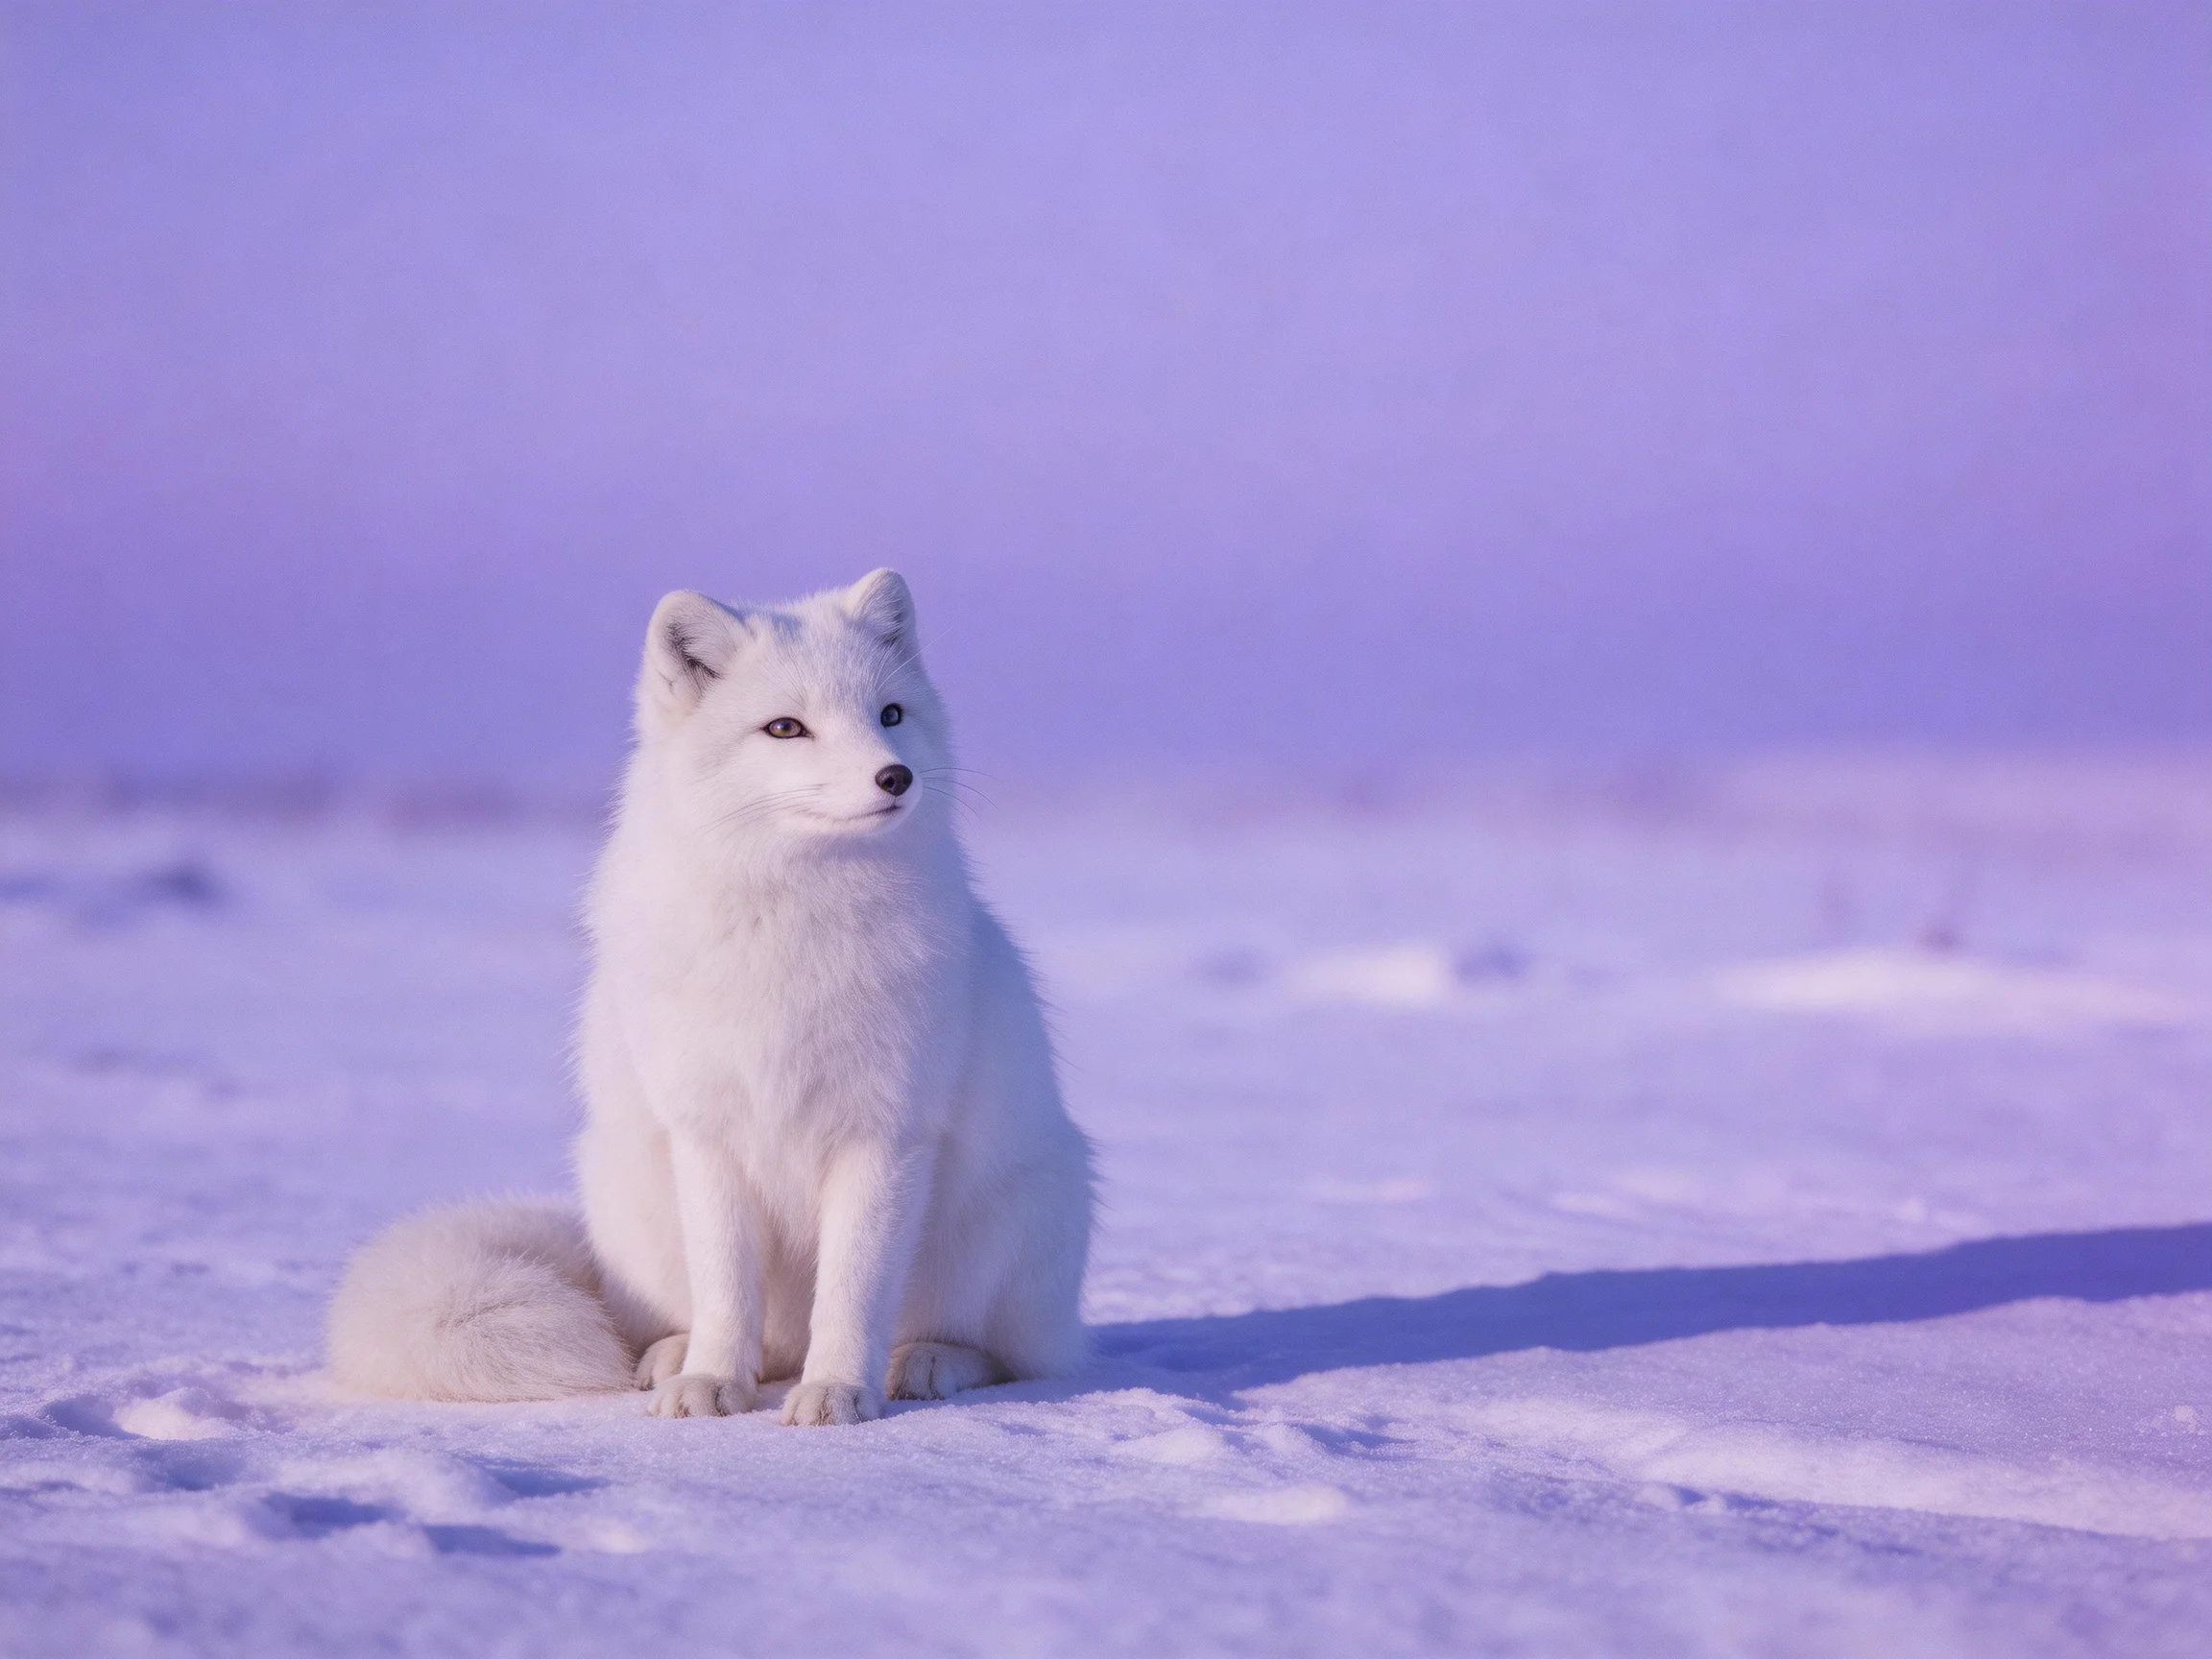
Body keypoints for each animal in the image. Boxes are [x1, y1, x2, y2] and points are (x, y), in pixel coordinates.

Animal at [326, 570, 1095, 1424]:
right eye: (785, 728)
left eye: (890, 714)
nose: (895, 776)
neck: (792, 926)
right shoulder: (705, 1133)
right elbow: (726, 1287)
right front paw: (714, 1383)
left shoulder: (884, 1134)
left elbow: (853, 1293)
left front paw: (836, 1392)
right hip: (630, 1197)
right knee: (714, 1324)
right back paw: (674, 1356)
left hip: (1009, 1221)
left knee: (1011, 1356)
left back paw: (926, 1361)